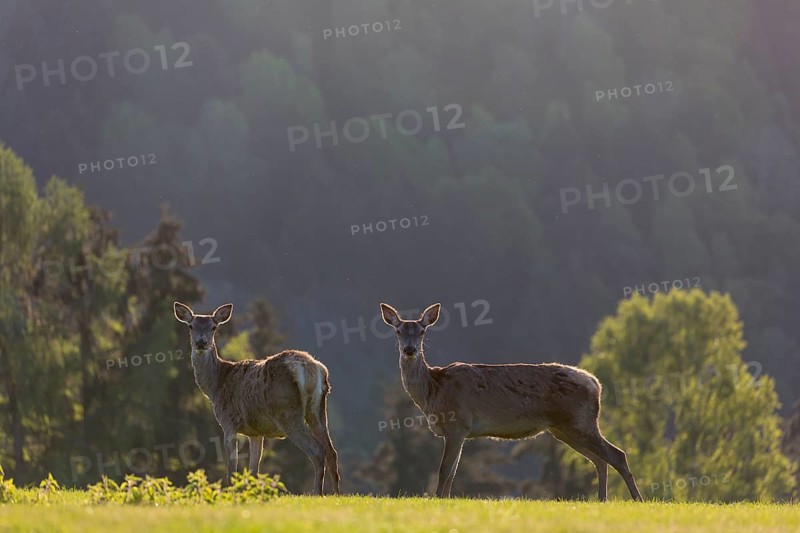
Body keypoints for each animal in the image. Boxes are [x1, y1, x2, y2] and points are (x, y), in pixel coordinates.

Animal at [173, 302, 340, 495]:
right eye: (191, 326)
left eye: (213, 327)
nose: (201, 342)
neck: (216, 385)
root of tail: (310, 368)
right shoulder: (256, 431)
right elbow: (254, 470)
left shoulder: (228, 423)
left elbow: (232, 467)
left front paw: (230, 491)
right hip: (318, 408)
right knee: (331, 451)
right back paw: (337, 493)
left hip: (287, 412)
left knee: (318, 450)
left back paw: (317, 492)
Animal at [379, 302, 643, 501]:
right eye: (398, 331)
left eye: (422, 331)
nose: (410, 350)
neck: (433, 392)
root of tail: (595, 383)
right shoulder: (458, 431)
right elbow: (452, 472)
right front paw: (445, 500)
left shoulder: (458, 424)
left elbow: (444, 470)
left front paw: (438, 501)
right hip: (564, 429)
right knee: (600, 460)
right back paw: (602, 500)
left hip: (580, 421)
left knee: (617, 454)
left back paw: (636, 500)